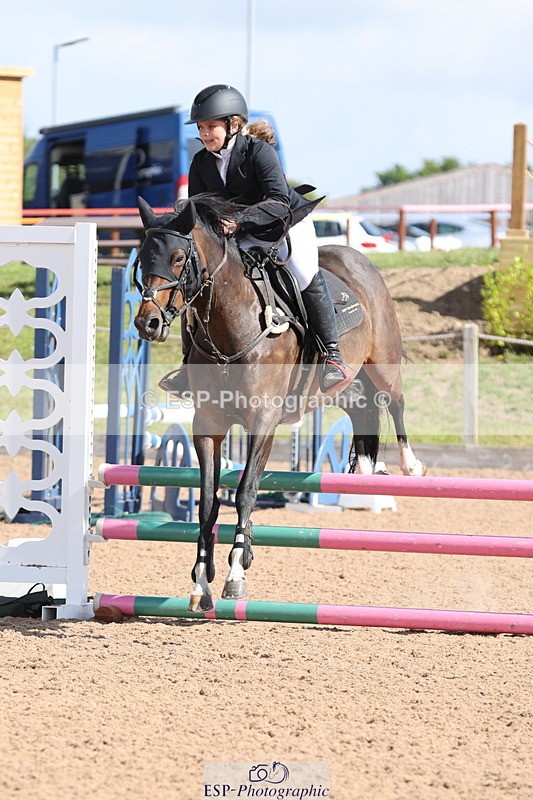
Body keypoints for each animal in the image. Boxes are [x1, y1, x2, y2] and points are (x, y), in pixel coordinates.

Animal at [134, 194, 425, 612]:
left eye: (176, 258)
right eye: (142, 257)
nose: (148, 324)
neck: (231, 322)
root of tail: (359, 258)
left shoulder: (263, 420)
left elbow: (245, 492)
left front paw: (236, 572)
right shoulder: (208, 425)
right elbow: (207, 501)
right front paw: (201, 582)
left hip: (382, 360)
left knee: (395, 399)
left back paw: (409, 463)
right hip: (343, 385)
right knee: (363, 409)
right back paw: (367, 472)